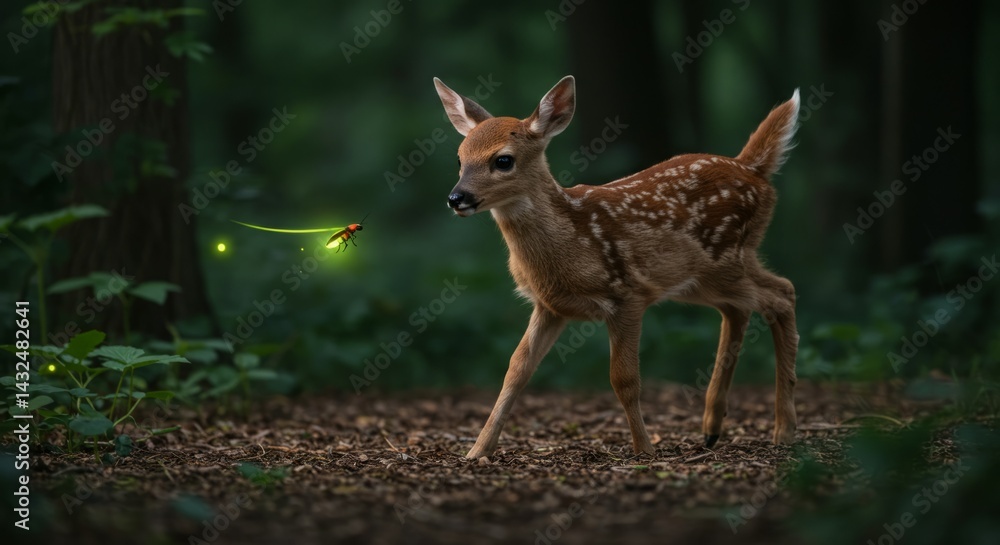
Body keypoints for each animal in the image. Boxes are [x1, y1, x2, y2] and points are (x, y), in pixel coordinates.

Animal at [433, 75, 800, 460]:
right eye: (459, 159)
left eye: (503, 160)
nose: (457, 198)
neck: (570, 241)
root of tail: (751, 167)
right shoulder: (549, 306)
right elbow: (516, 371)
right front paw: (477, 451)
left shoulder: (627, 294)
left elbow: (623, 379)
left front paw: (644, 450)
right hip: (703, 278)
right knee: (740, 309)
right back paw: (712, 428)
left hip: (725, 258)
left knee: (782, 293)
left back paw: (784, 430)